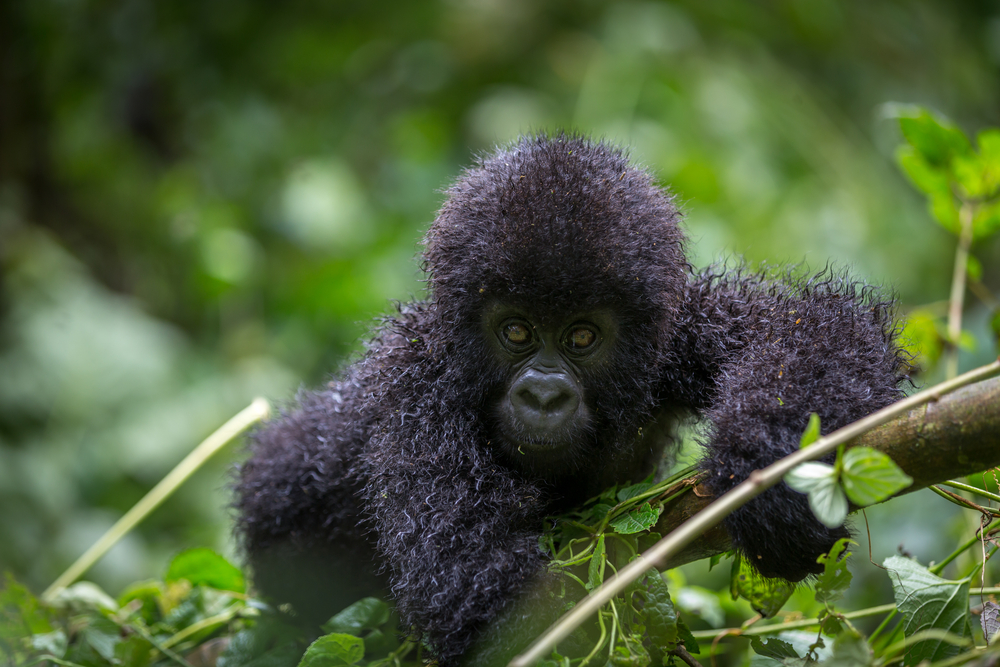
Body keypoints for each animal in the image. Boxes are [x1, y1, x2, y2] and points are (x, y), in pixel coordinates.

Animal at [232, 133, 908, 664]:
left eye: (582, 336)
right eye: (516, 332)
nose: (543, 394)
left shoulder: (679, 328)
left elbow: (812, 329)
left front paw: (770, 471)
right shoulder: (415, 390)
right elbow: (485, 600)